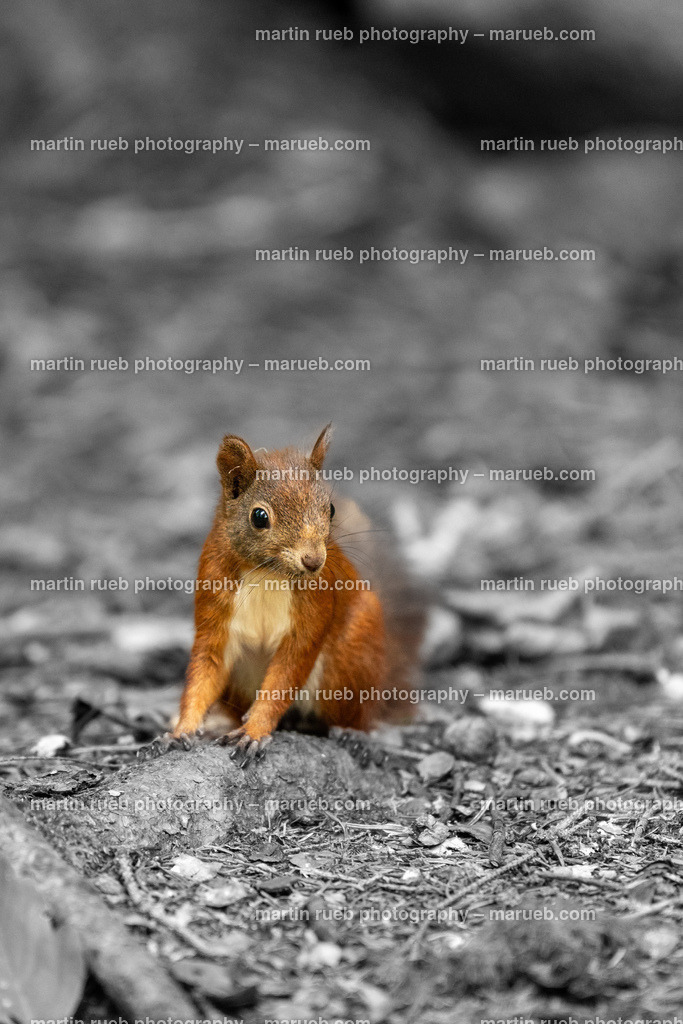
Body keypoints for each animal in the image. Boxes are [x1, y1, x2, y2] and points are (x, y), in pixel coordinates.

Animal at [141, 425, 424, 766]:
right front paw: (181, 730)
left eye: (330, 509)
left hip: (351, 658)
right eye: (259, 517)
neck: (269, 574)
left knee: (357, 714)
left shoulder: (314, 610)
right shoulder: (214, 602)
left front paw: (254, 731)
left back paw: (354, 735)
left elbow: (285, 677)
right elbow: (204, 673)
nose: (314, 560)